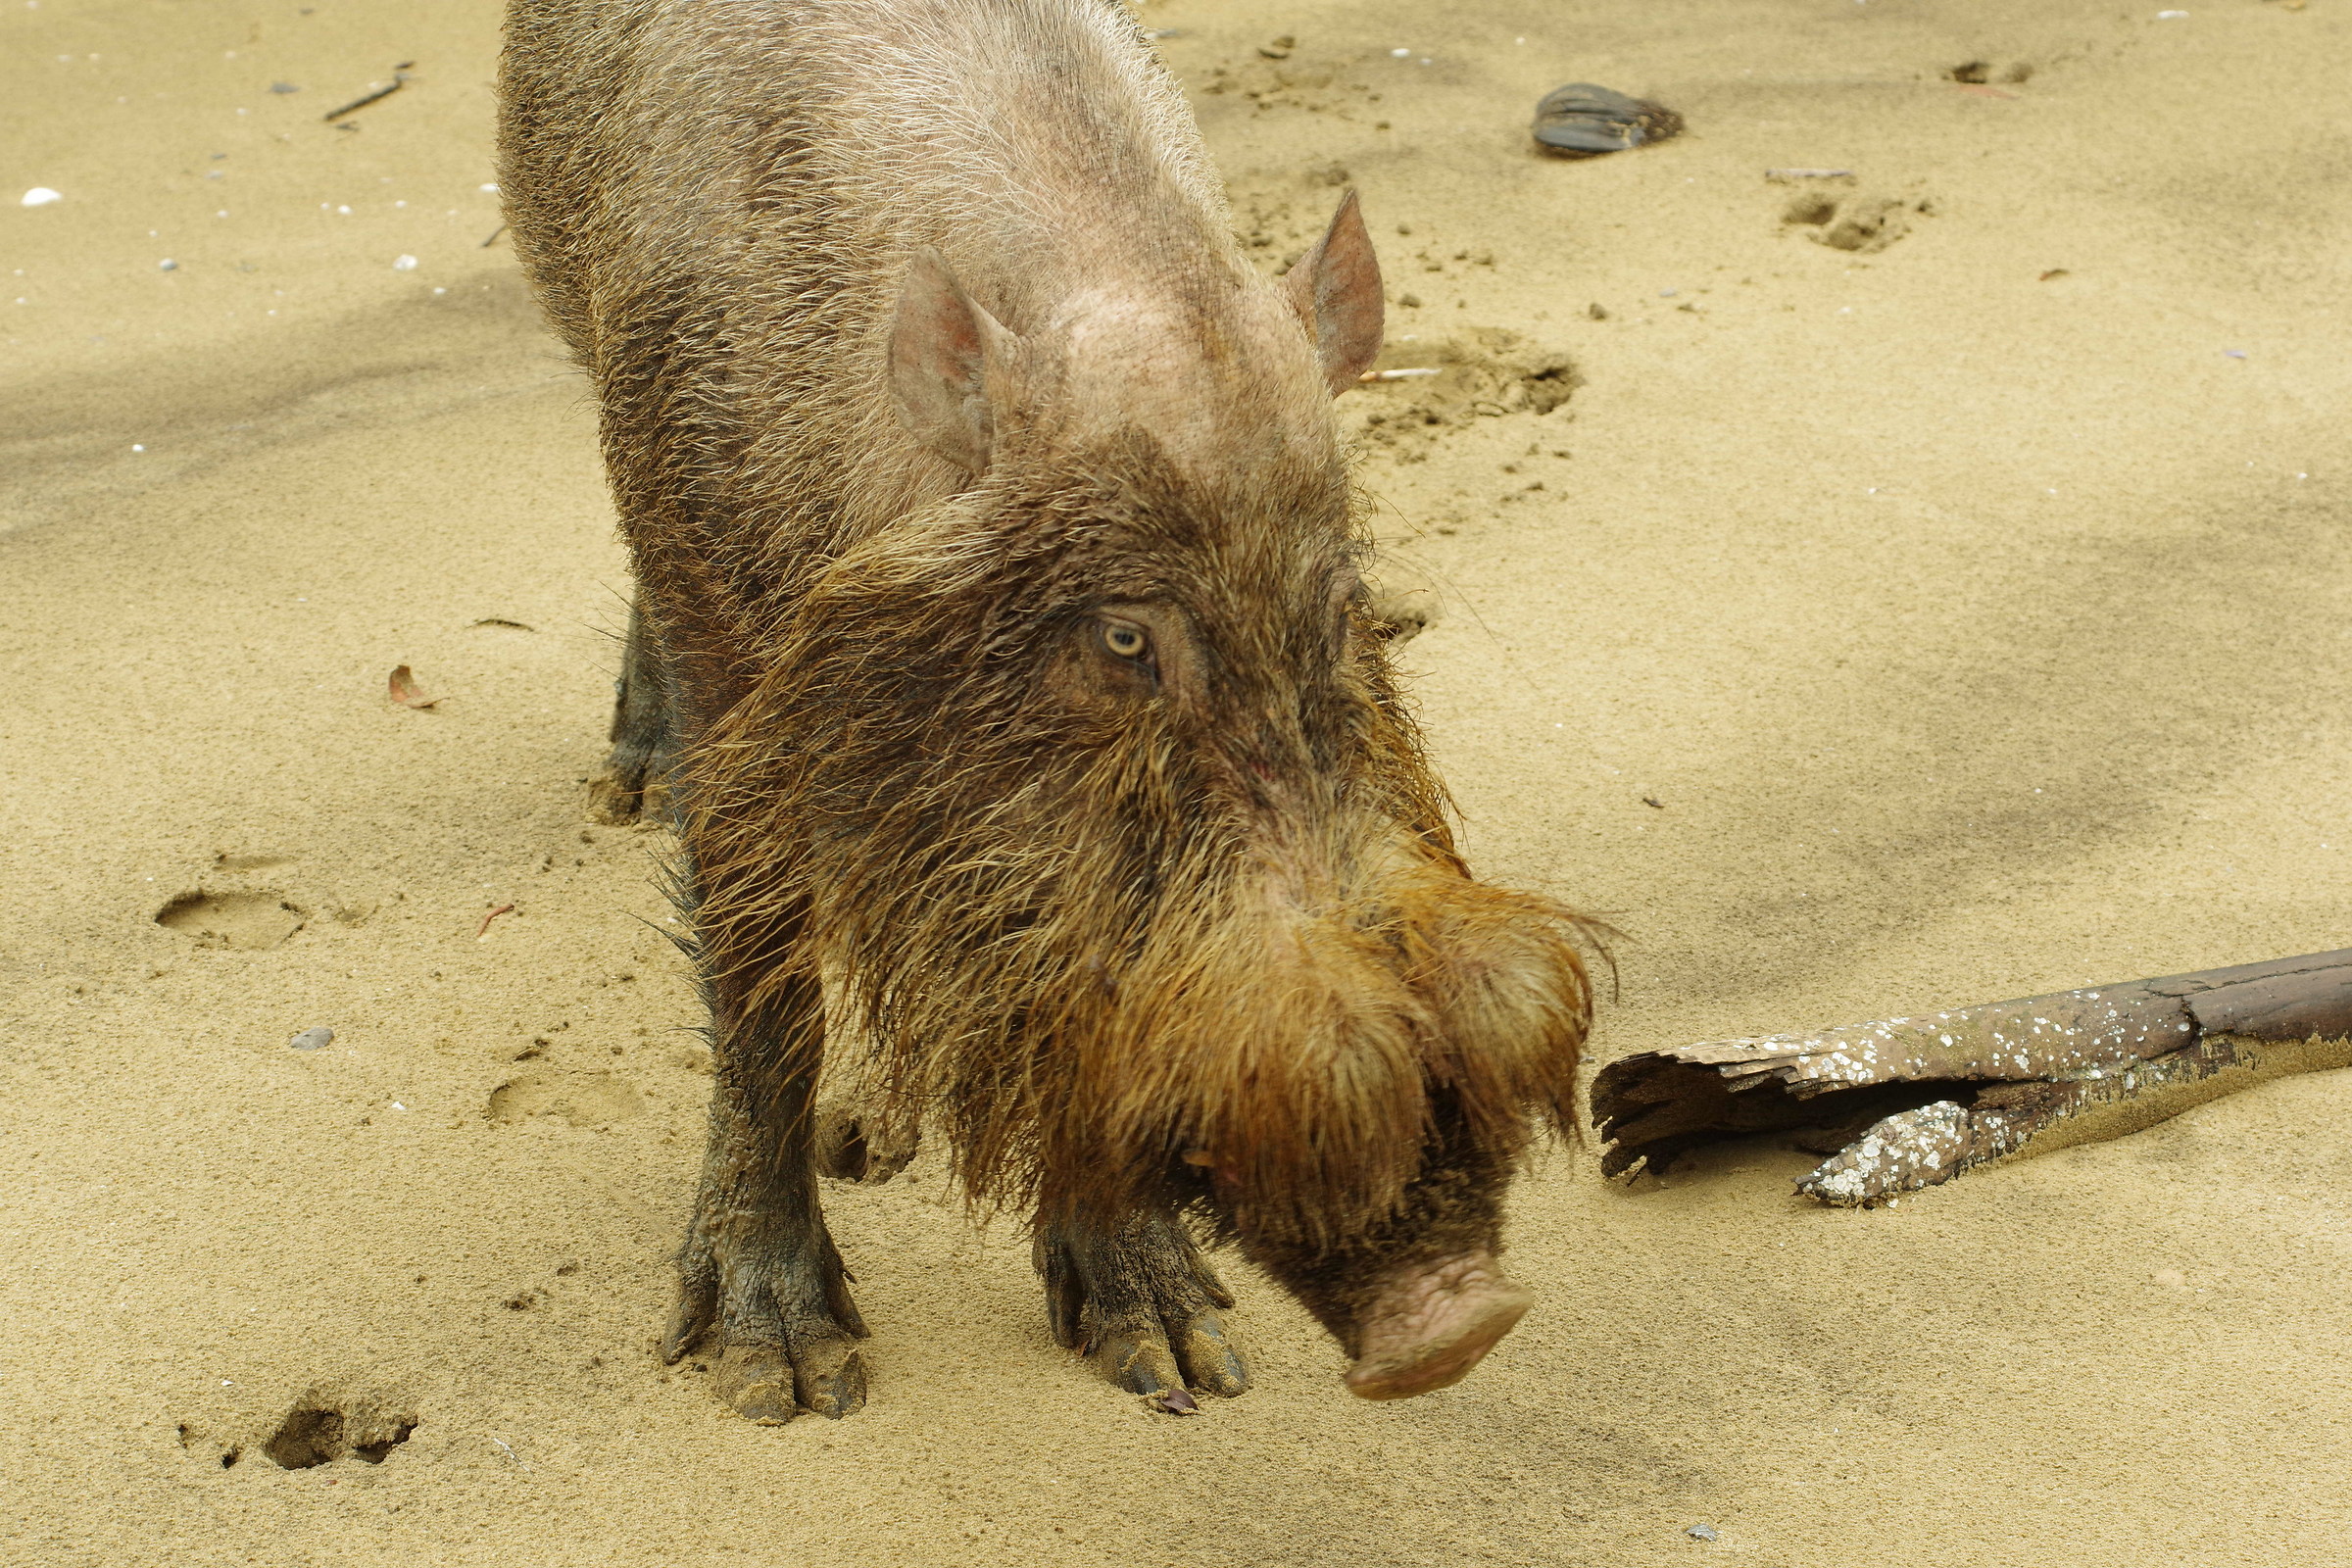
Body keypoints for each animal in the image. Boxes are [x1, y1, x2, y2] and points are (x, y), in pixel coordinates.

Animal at [498, 0, 1595, 1421]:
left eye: (1343, 599)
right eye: (1122, 635)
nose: (1462, 1321)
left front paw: (1189, 1367)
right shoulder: (724, 631)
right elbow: (761, 990)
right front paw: (791, 1384)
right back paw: (626, 790)